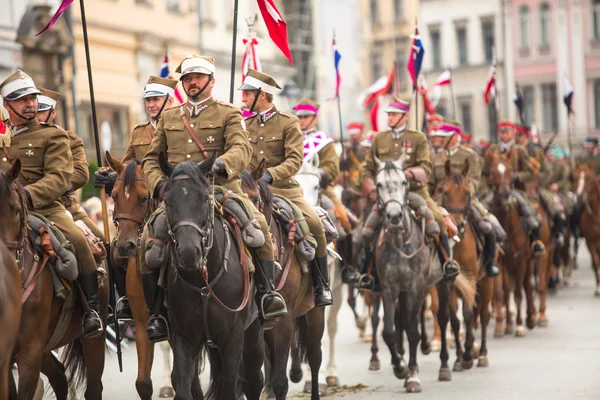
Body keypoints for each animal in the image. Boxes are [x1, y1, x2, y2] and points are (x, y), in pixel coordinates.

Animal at [158, 154, 264, 400]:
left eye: (205, 198)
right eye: (167, 201)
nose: (189, 252)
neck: (203, 283)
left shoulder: (233, 338)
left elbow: (229, 389)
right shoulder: (184, 338)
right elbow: (184, 389)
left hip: (253, 333)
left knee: (255, 380)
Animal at [368, 155, 476, 390]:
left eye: (404, 182)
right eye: (378, 184)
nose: (394, 216)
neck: (401, 241)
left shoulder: (416, 287)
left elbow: (412, 329)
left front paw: (412, 375)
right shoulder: (390, 288)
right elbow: (389, 330)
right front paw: (399, 367)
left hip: (443, 282)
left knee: (444, 318)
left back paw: (445, 365)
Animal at [436, 159, 492, 368]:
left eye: (468, 193)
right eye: (444, 191)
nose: (458, 225)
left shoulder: (472, 278)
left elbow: (468, 315)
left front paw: (468, 353)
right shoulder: (449, 283)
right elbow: (454, 319)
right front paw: (460, 357)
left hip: (487, 282)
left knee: (483, 315)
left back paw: (482, 353)